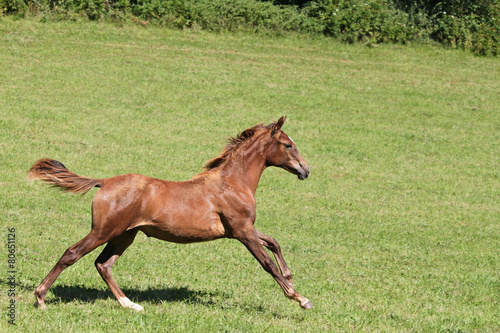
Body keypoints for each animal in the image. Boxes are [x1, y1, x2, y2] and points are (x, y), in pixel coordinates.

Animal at [28, 116, 312, 308]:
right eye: (287, 145)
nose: (305, 170)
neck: (231, 182)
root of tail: (104, 181)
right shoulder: (242, 230)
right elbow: (266, 263)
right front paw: (299, 297)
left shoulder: (239, 229)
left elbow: (273, 242)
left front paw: (289, 276)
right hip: (104, 231)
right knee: (72, 253)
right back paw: (40, 297)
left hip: (124, 235)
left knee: (103, 264)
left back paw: (130, 304)